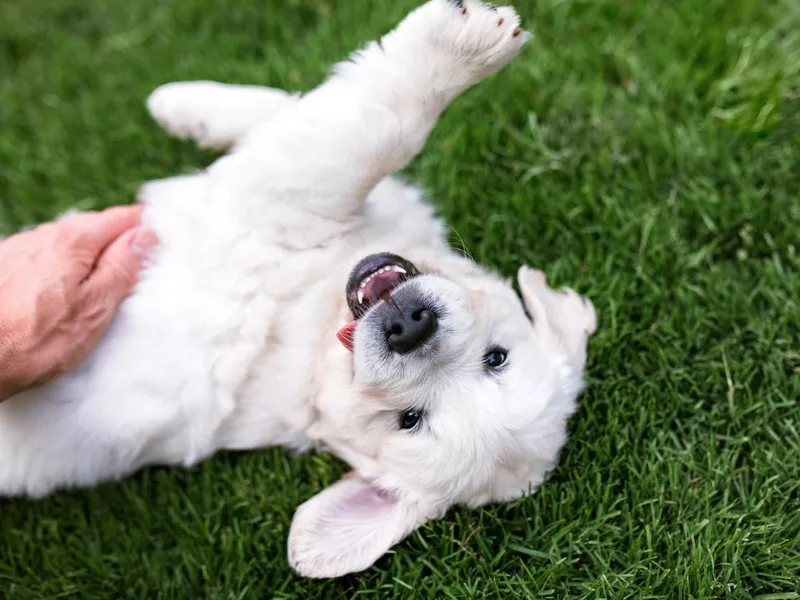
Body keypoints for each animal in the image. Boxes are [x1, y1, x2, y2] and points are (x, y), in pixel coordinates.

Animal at [0, 1, 592, 580]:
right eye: (498, 358)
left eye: (409, 419)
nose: (409, 327)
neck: (314, 340)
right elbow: (290, 112)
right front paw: (178, 104)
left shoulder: (284, 200)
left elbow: (372, 128)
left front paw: (457, 43)